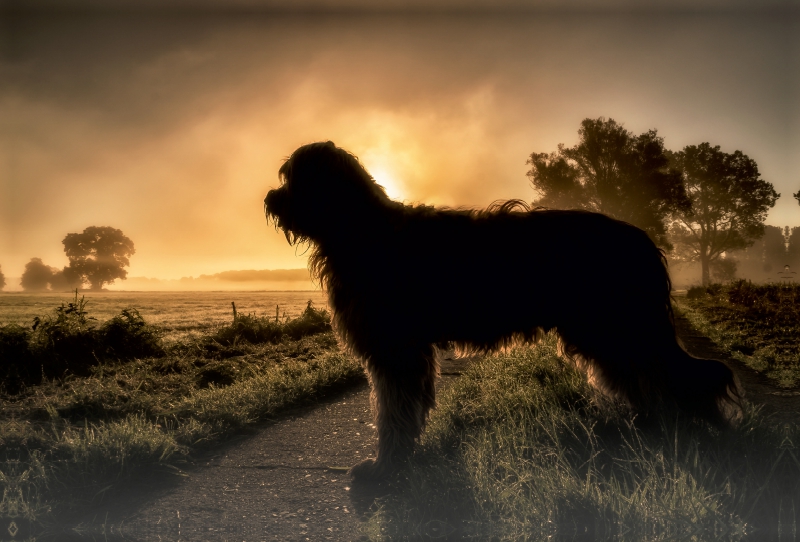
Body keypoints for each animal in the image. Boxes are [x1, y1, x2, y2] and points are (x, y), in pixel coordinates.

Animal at [266, 142, 740, 482]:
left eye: (294, 178)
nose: (270, 198)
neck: (360, 231)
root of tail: (640, 238)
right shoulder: (407, 351)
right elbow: (405, 408)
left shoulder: (395, 349)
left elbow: (393, 413)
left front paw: (386, 468)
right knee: (652, 379)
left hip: (615, 327)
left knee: (664, 377)